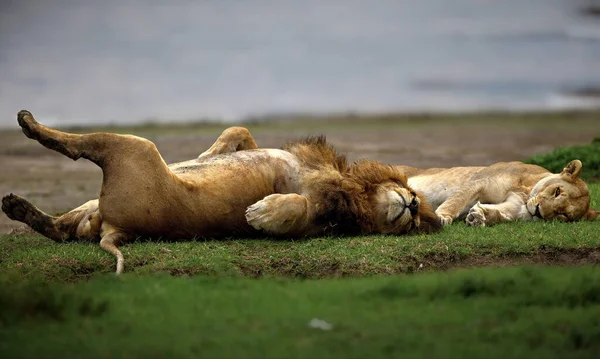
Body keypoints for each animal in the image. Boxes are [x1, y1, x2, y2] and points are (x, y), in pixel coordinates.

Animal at [0, 111, 440, 274]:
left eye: (413, 223)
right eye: (413, 211)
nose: (415, 204)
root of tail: (116, 229)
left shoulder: (321, 220)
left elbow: (297, 206)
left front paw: (260, 213)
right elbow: (238, 132)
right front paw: (206, 155)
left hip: (136, 147)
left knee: (75, 147)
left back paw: (30, 125)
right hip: (92, 210)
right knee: (61, 228)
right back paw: (17, 206)